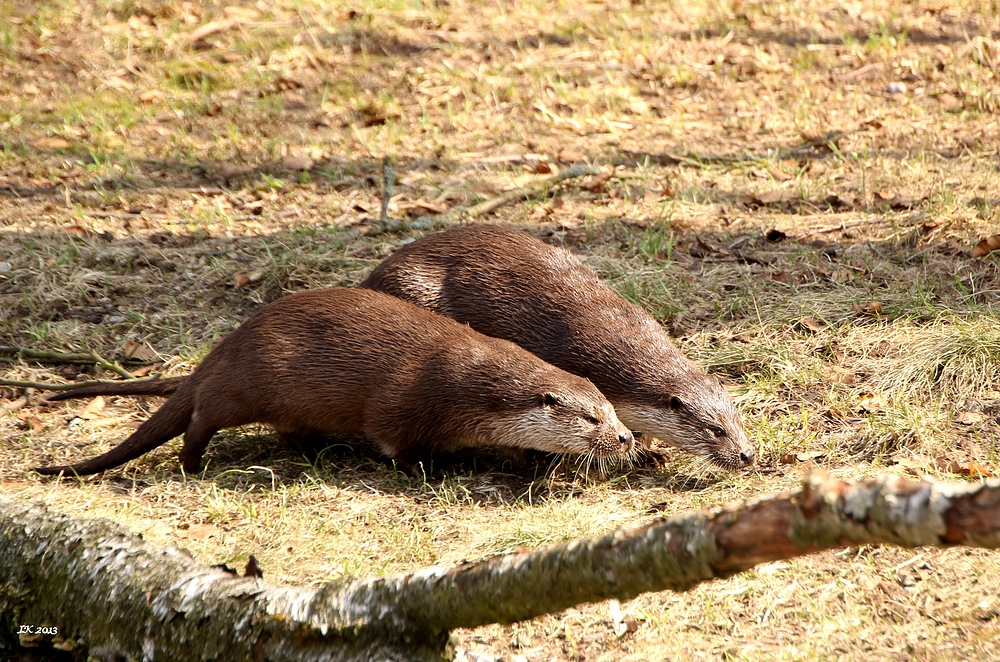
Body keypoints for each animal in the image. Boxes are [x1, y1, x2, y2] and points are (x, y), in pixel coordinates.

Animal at [39, 290, 636, 478]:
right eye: (591, 417)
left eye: (612, 408)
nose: (626, 438)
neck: (473, 386)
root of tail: (222, 348)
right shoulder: (406, 403)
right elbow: (395, 443)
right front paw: (431, 469)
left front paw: (525, 461)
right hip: (245, 385)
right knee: (202, 416)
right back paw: (192, 463)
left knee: (286, 431)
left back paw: (316, 452)